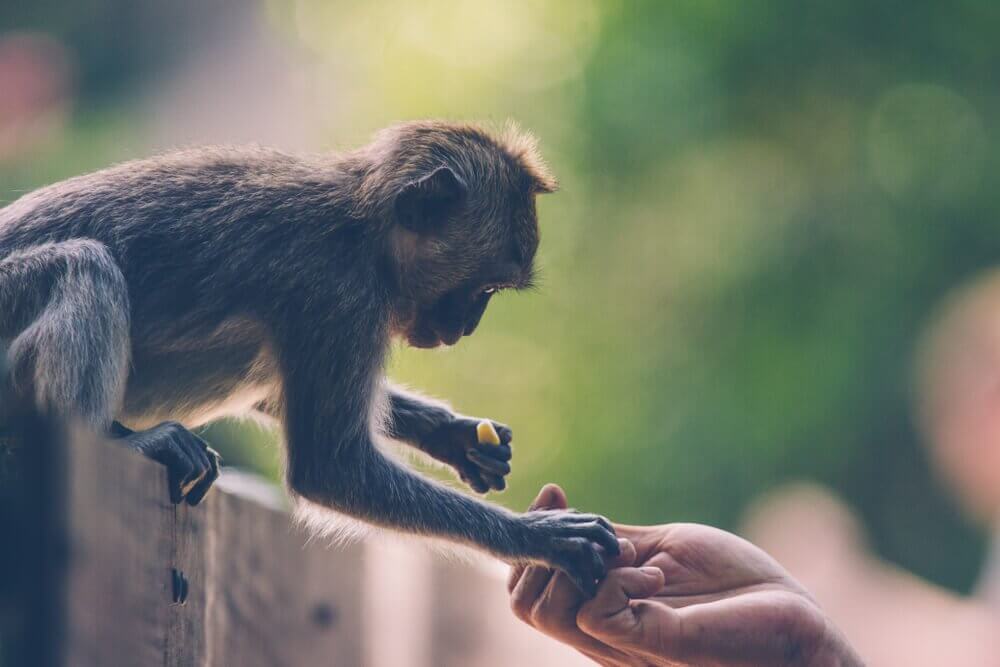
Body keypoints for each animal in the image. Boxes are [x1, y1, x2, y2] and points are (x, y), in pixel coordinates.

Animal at [0, 121, 618, 595]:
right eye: (485, 289)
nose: (466, 327)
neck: (363, 227)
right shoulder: (338, 292)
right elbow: (331, 467)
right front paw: (538, 538)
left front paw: (451, 435)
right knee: (82, 265)